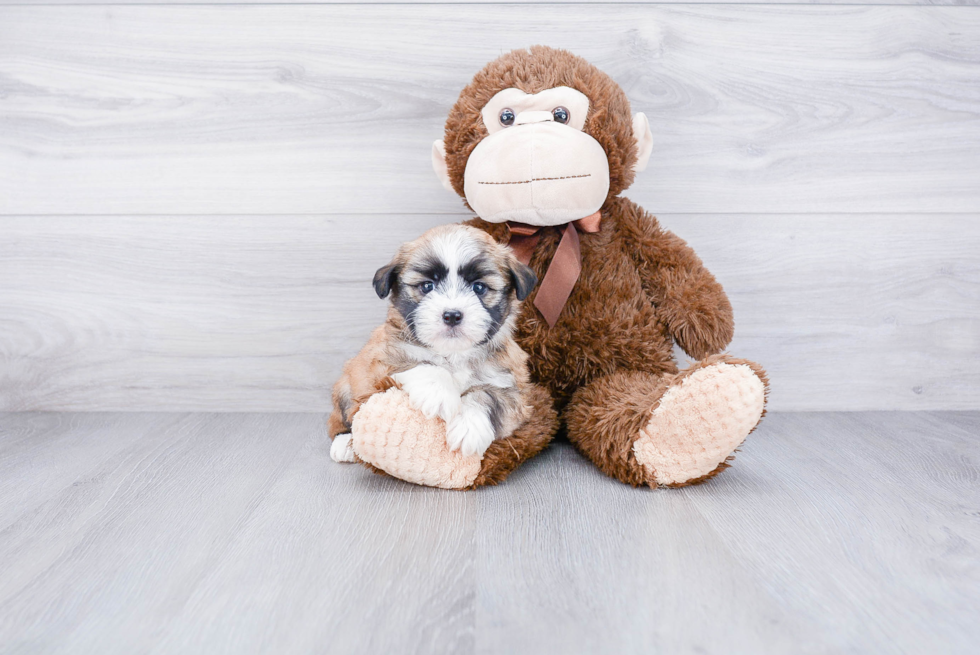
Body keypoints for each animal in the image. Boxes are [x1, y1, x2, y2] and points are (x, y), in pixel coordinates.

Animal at [334, 226, 540, 466]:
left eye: (478, 287)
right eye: (427, 286)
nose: (452, 315)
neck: (453, 353)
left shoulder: (513, 391)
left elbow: (488, 396)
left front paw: (469, 427)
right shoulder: (380, 363)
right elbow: (422, 364)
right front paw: (439, 393)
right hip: (347, 385)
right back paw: (344, 443)